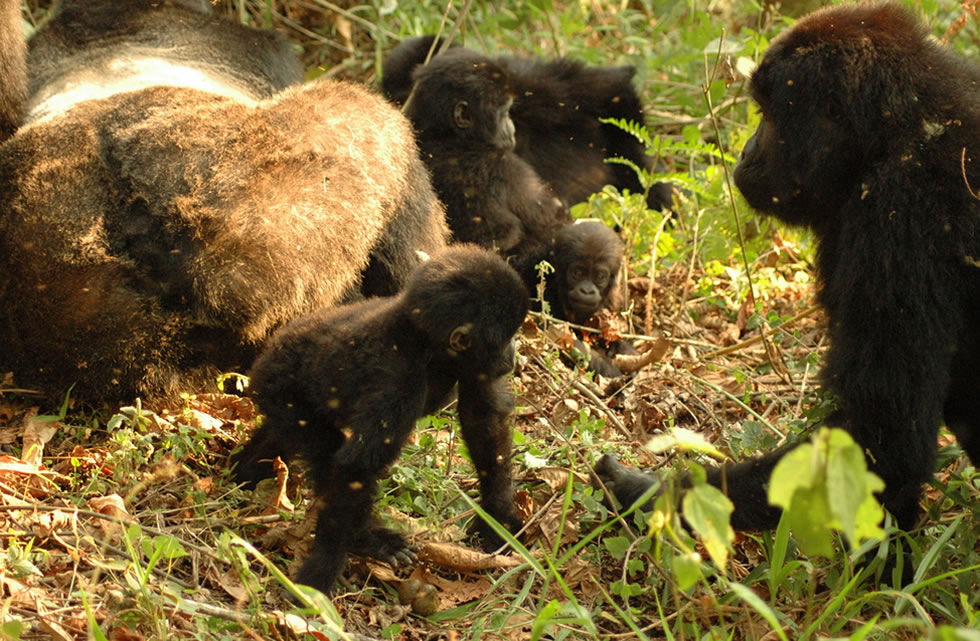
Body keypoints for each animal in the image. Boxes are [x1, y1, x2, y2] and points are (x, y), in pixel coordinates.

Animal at [232, 244, 528, 592]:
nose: (514, 353)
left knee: (282, 435)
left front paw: (498, 516)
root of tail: (269, 349)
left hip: (276, 394)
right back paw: (365, 538)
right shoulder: (399, 381)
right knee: (324, 450)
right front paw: (327, 562)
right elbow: (358, 466)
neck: (424, 341)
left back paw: (245, 469)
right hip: (281, 384)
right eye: (507, 337)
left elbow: (484, 421)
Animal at [516, 222, 640, 378]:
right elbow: (550, 331)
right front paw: (611, 369)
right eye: (578, 273)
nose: (587, 291)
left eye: (600, 276)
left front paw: (624, 349)